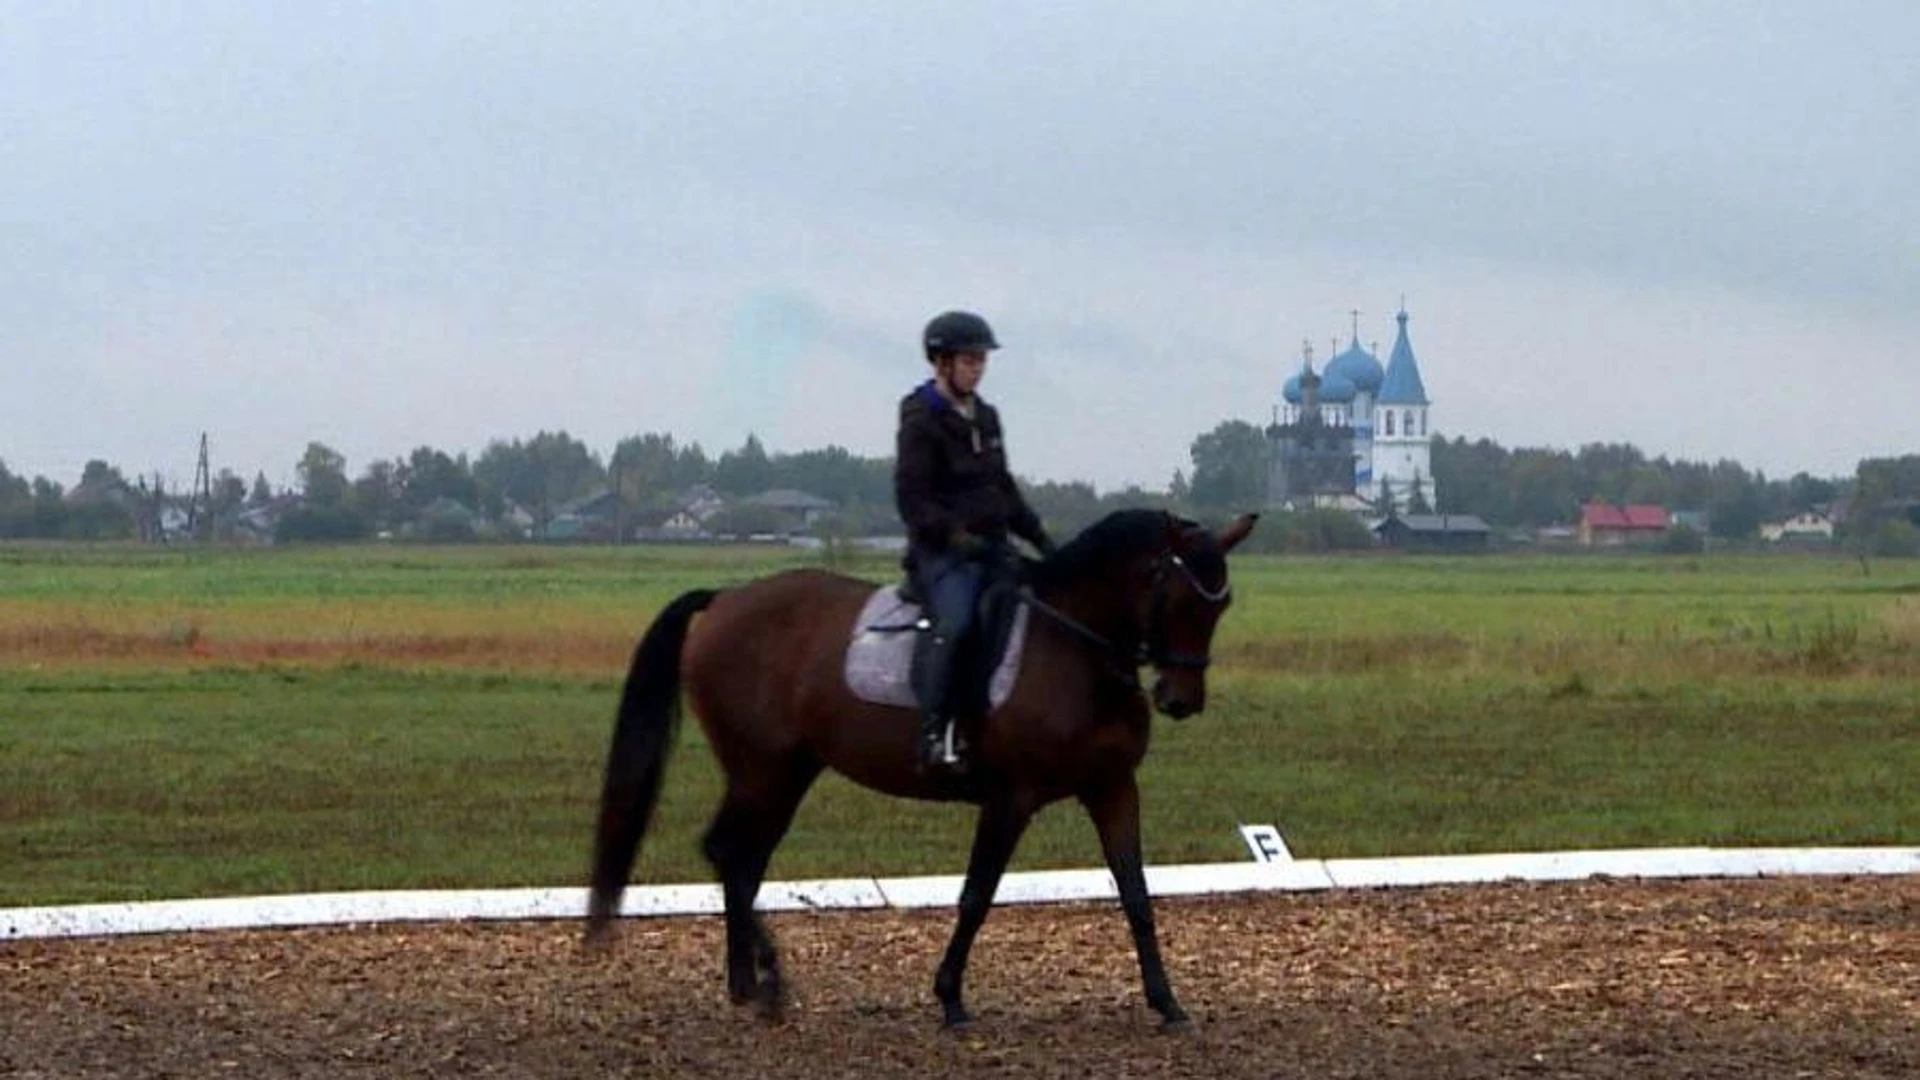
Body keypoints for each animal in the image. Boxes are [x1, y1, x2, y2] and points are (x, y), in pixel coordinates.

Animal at [583, 503, 1259, 1022]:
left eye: (1220, 606)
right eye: (1177, 597)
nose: (1180, 699)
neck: (1074, 650)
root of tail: (724, 599)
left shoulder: (1113, 787)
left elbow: (1137, 894)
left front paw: (1167, 1003)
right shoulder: (1011, 797)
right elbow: (978, 893)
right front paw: (951, 998)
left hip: (785, 773)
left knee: (742, 863)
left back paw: (749, 988)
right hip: (763, 772)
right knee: (730, 854)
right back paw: (769, 985)